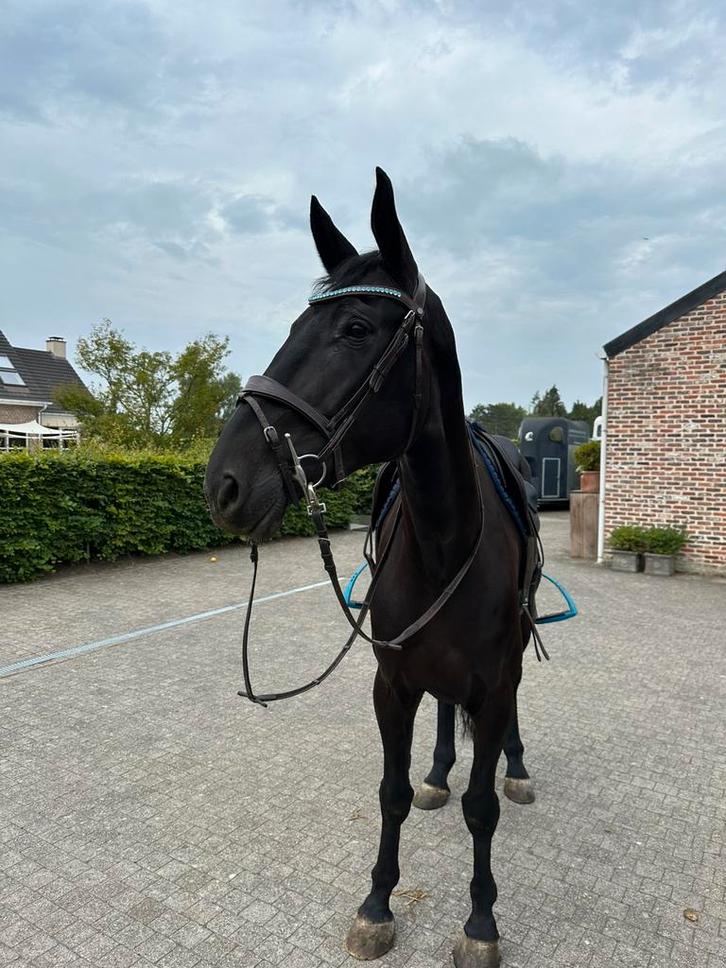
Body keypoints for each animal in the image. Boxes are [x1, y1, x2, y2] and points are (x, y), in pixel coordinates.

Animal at [204, 168, 538, 968]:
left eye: (356, 328)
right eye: (295, 324)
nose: (224, 482)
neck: (447, 540)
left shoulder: (495, 683)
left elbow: (483, 809)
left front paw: (481, 921)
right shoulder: (393, 684)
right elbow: (391, 791)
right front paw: (378, 902)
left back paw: (514, 767)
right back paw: (440, 770)